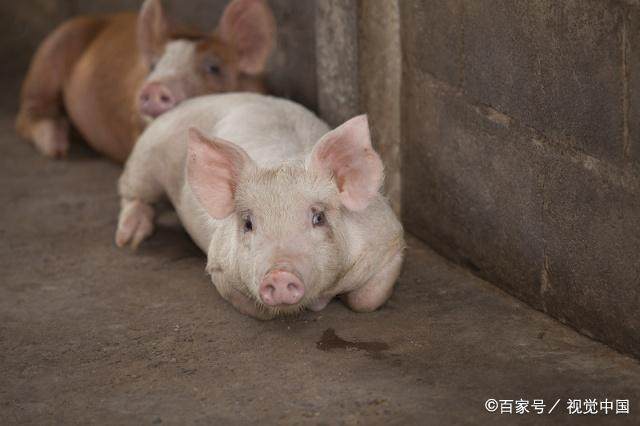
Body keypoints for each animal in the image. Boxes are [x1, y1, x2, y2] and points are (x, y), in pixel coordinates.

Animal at [15, 0, 276, 163]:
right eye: (153, 65)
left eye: (214, 68)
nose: (154, 87)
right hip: (50, 53)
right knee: (27, 113)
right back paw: (56, 146)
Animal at [115, 94, 404, 320]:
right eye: (248, 223)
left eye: (319, 217)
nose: (279, 274)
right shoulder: (220, 264)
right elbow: (261, 311)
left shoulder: (389, 242)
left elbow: (366, 301)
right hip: (146, 157)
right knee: (132, 192)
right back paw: (128, 241)